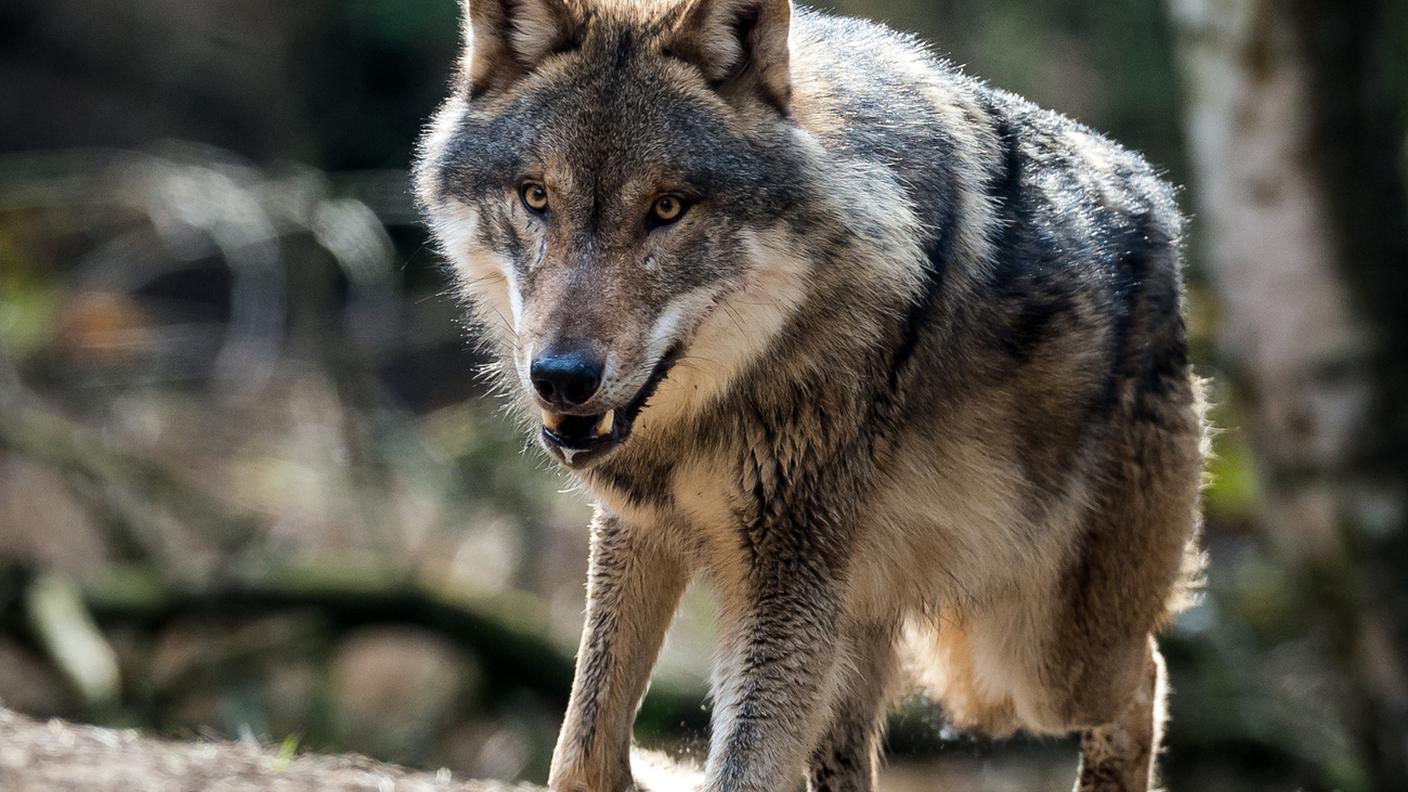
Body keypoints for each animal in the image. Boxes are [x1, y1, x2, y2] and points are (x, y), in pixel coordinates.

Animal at [411, 0, 1205, 783]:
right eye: (536, 197)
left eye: (668, 208)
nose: (562, 377)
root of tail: (1162, 204)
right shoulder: (639, 529)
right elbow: (582, 753)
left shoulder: (786, 573)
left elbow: (736, 771)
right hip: (867, 626)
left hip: (1033, 661)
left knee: (1147, 676)